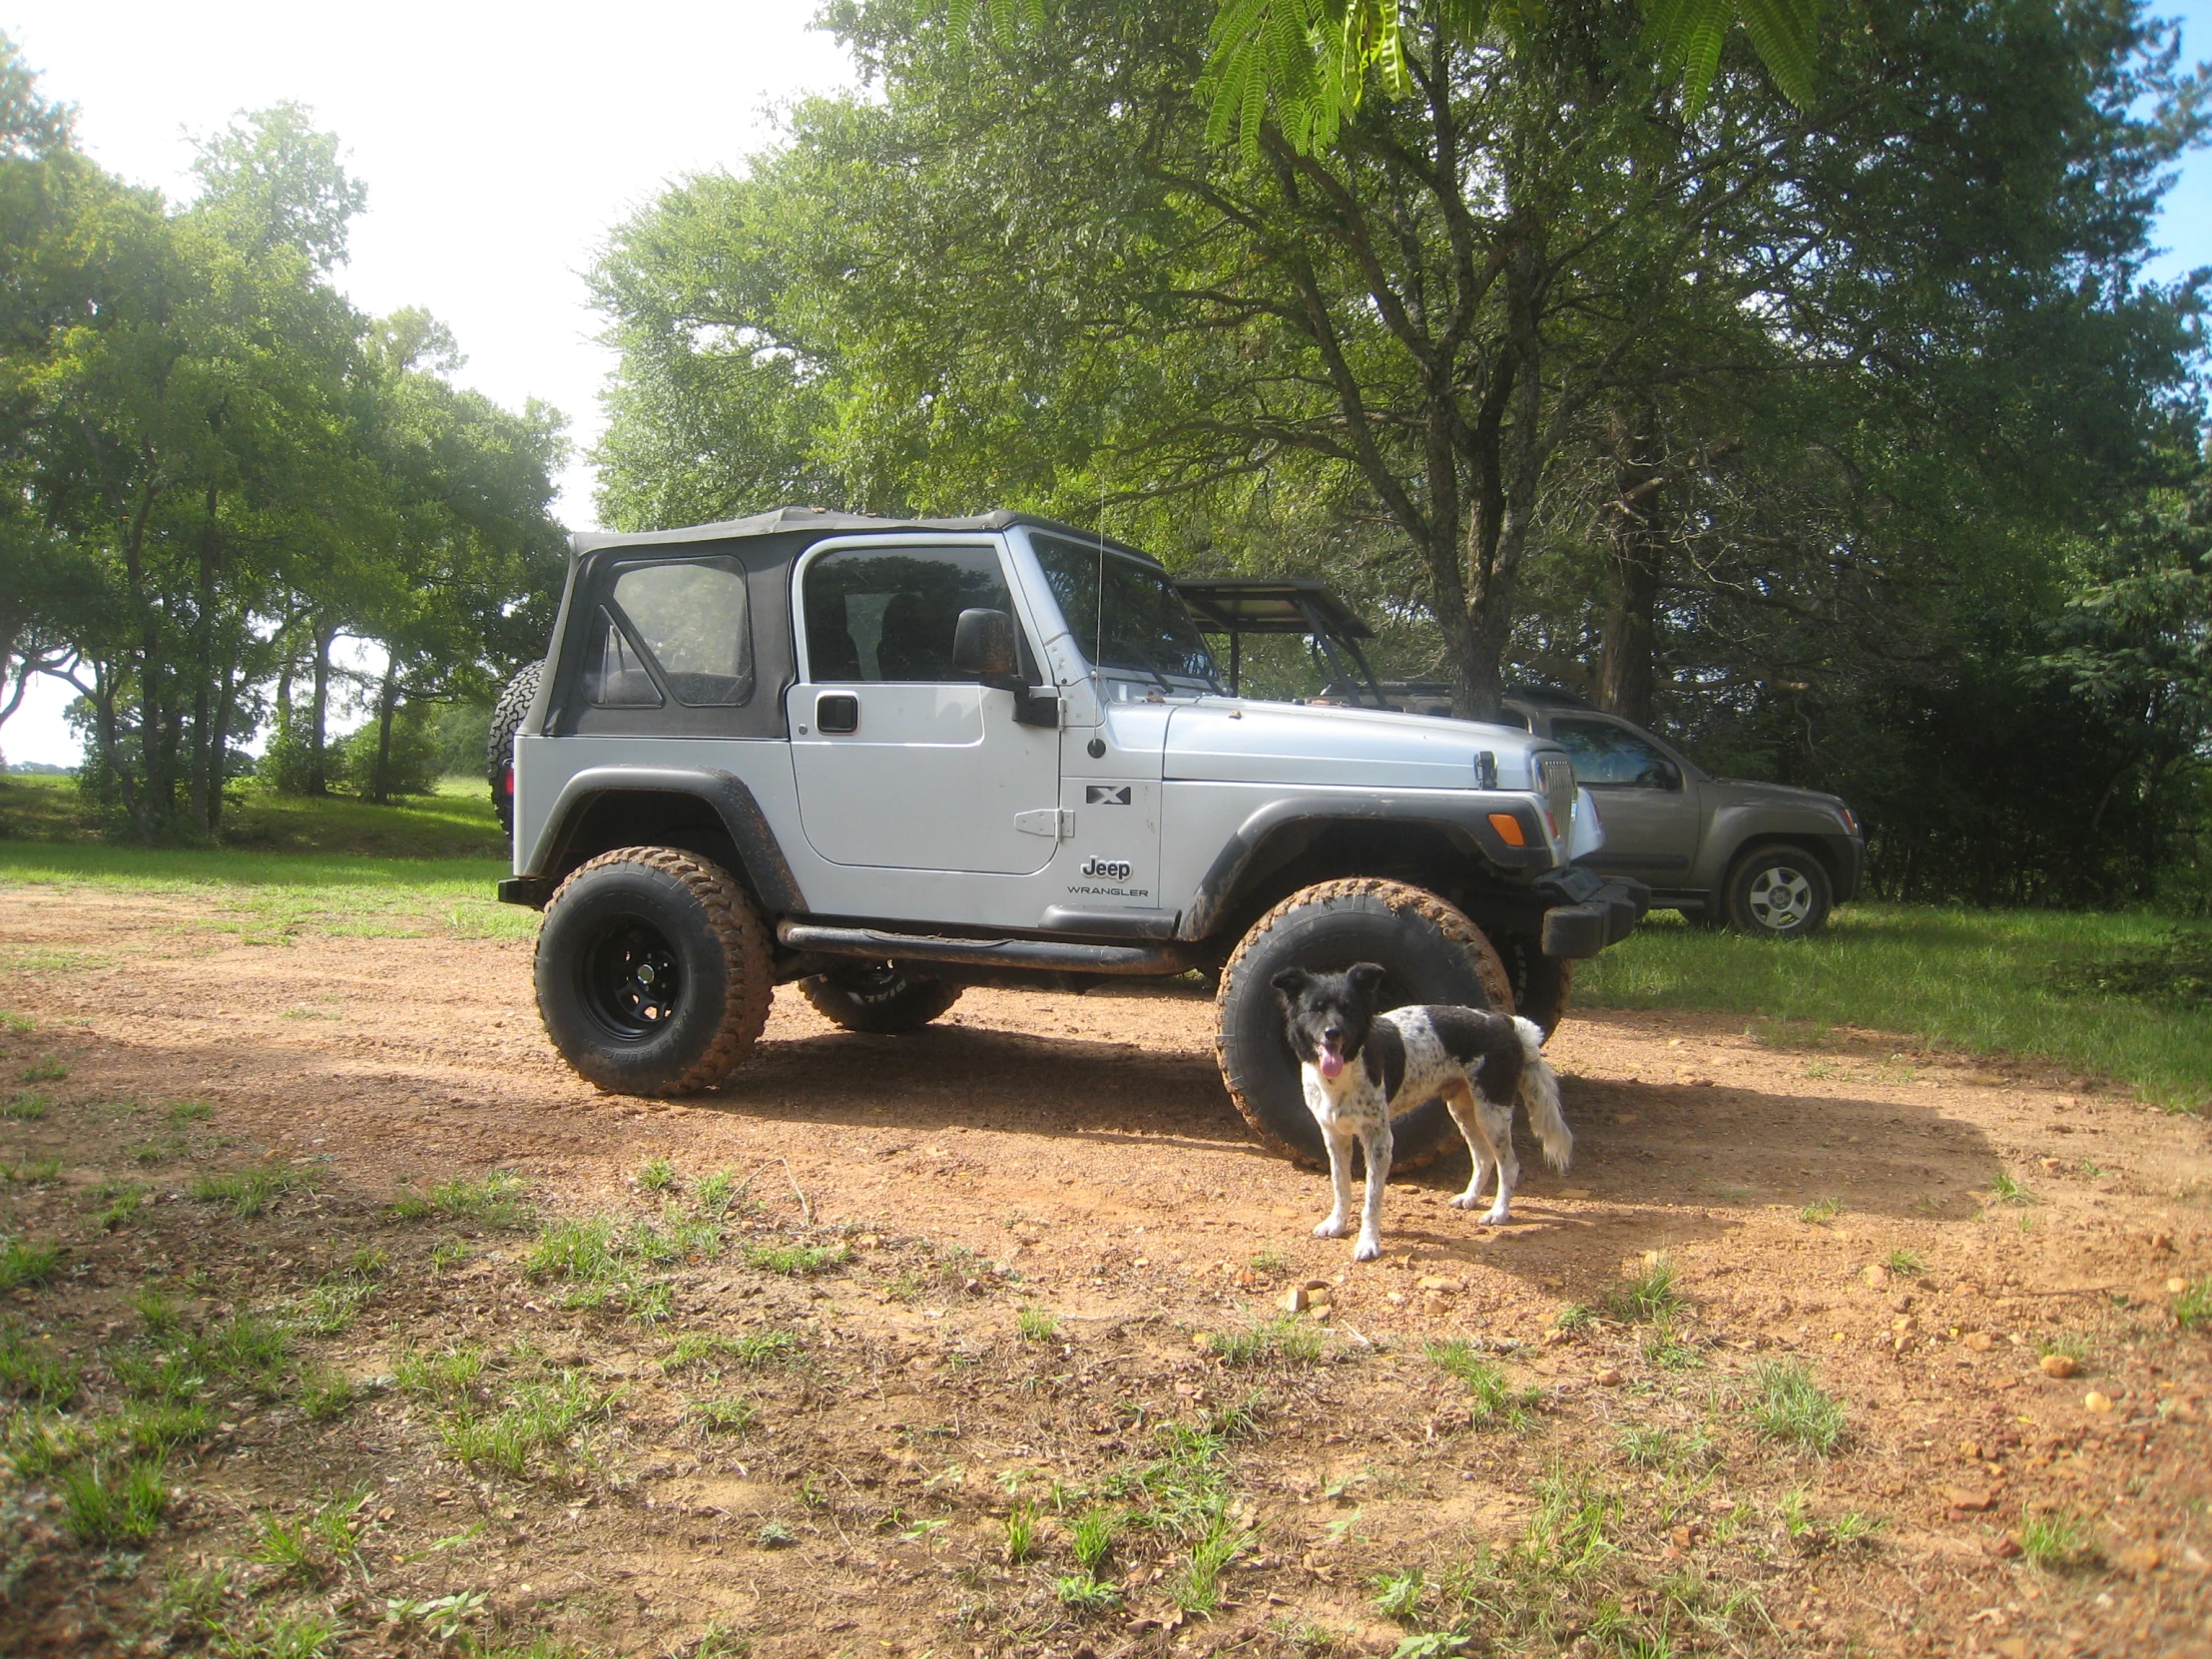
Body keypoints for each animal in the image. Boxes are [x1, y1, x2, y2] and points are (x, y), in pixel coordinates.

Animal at [1274, 959, 1565, 1256]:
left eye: (1348, 1008)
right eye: (1315, 1009)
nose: (1332, 1033)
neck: (1339, 1078)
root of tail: (1505, 1021)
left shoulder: (1379, 1140)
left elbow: (1371, 1199)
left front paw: (1368, 1242)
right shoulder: (1334, 1135)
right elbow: (1340, 1186)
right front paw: (1336, 1224)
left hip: (1492, 1111)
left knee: (1509, 1164)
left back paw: (1499, 1212)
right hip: (1463, 1109)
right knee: (1483, 1157)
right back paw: (1470, 1198)